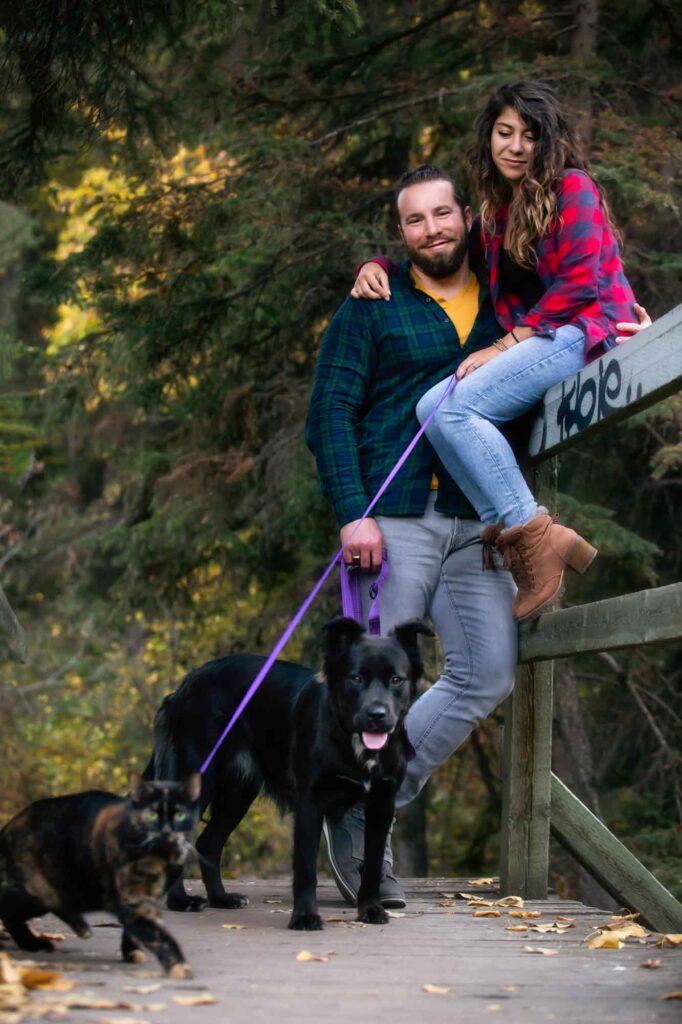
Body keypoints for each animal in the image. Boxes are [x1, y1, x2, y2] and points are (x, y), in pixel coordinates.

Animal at [0, 774, 199, 974]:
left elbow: (135, 931)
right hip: (40, 891)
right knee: (9, 909)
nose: (166, 832)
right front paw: (178, 965)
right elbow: (156, 933)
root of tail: (11, 825)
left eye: (180, 815)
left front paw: (131, 951)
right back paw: (35, 943)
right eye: (151, 814)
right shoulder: (130, 898)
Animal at [147, 614, 430, 929]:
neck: (353, 743)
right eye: (356, 678)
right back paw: (181, 902)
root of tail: (184, 685)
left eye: (396, 680)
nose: (377, 715)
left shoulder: (382, 803)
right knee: (173, 839)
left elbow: (373, 864)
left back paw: (222, 898)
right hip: (197, 781)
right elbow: (305, 868)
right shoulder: (310, 801)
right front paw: (305, 916)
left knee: (208, 842)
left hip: (238, 792)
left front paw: (370, 910)